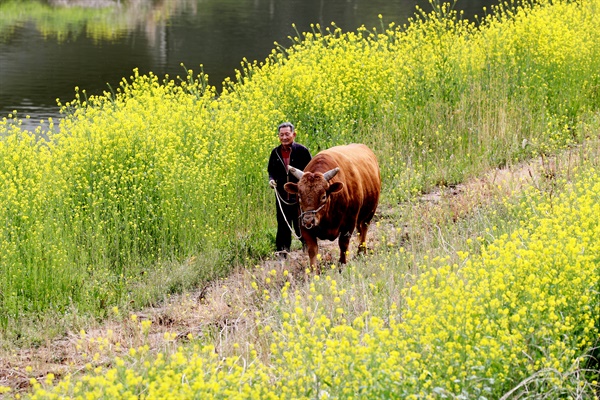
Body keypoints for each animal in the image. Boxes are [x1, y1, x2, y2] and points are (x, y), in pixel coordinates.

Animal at [284, 142, 380, 270]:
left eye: (323, 196)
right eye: (299, 196)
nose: (309, 220)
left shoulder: (349, 224)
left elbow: (343, 245)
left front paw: (342, 265)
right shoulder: (304, 227)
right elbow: (312, 250)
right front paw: (313, 271)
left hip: (369, 213)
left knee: (363, 230)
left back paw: (361, 252)